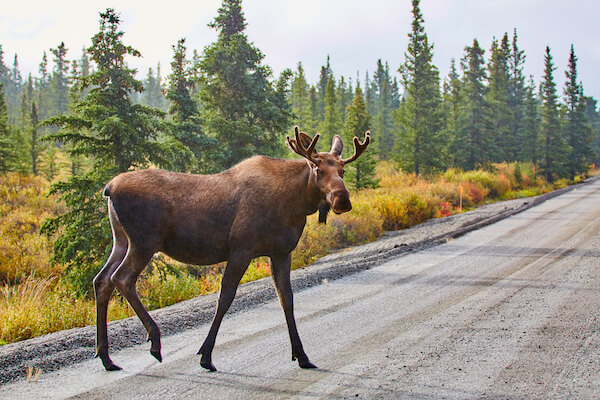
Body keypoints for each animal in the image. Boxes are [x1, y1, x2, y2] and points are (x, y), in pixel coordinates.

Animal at [92, 128, 370, 372]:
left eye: (343, 170)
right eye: (317, 169)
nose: (342, 199)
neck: (295, 203)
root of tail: (109, 188)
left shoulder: (281, 252)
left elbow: (287, 300)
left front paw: (301, 355)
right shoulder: (241, 249)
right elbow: (225, 298)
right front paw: (206, 356)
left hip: (121, 240)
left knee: (102, 280)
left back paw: (106, 358)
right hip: (144, 242)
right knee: (121, 278)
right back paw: (155, 342)